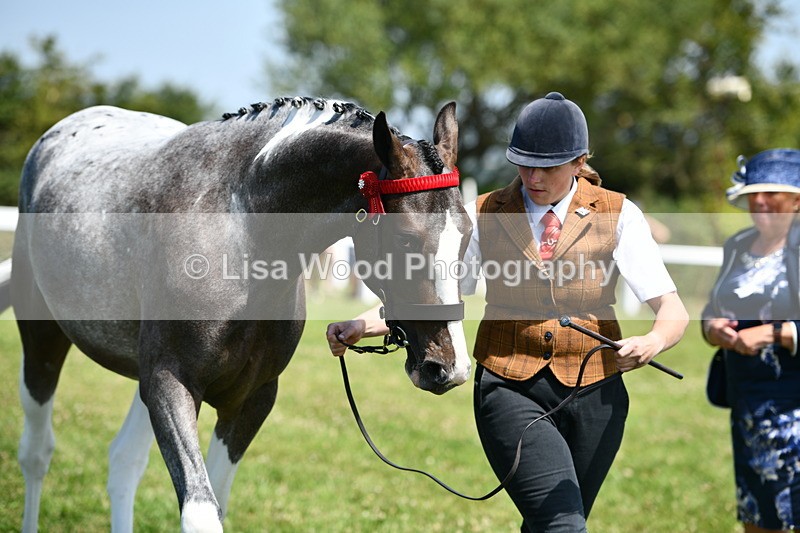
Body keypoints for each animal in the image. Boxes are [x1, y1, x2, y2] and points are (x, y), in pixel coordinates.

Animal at [11, 96, 473, 532]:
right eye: (407, 239)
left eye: (467, 236)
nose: (449, 368)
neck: (241, 232)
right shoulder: (169, 384)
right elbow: (201, 513)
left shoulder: (249, 399)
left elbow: (217, 501)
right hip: (43, 342)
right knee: (36, 452)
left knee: (123, 461)